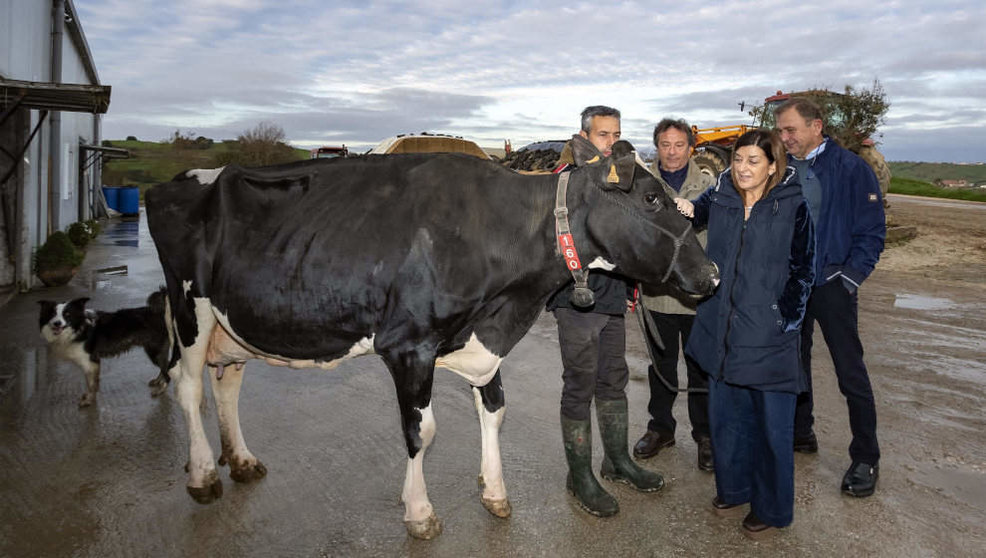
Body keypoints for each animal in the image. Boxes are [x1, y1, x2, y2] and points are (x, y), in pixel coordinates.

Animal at [38, 288, 172, 406]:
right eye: (52, 314)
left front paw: (89, 400)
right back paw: (158, 381)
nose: (57, 323)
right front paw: (89, 397)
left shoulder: (90, 361)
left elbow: (91, 384)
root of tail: (160, 312)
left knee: (167, 372)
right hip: (154, 350)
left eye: (67, 315)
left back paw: (161, 389)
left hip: (154, 351)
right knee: (165, 366)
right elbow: (90, 382)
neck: (80, 328)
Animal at [144, 140, 716, 544]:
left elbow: (495, 412)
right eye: (651, 198)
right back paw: (203, 475)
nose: (711, 274)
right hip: (191, 306)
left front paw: (495, 493)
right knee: (188, 386)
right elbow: (423, 431)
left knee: (227, 379)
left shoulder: (486, 339)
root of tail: (164, 186)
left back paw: (241, 461)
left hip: (231, 319)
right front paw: (419, 513)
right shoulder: (408, 345)